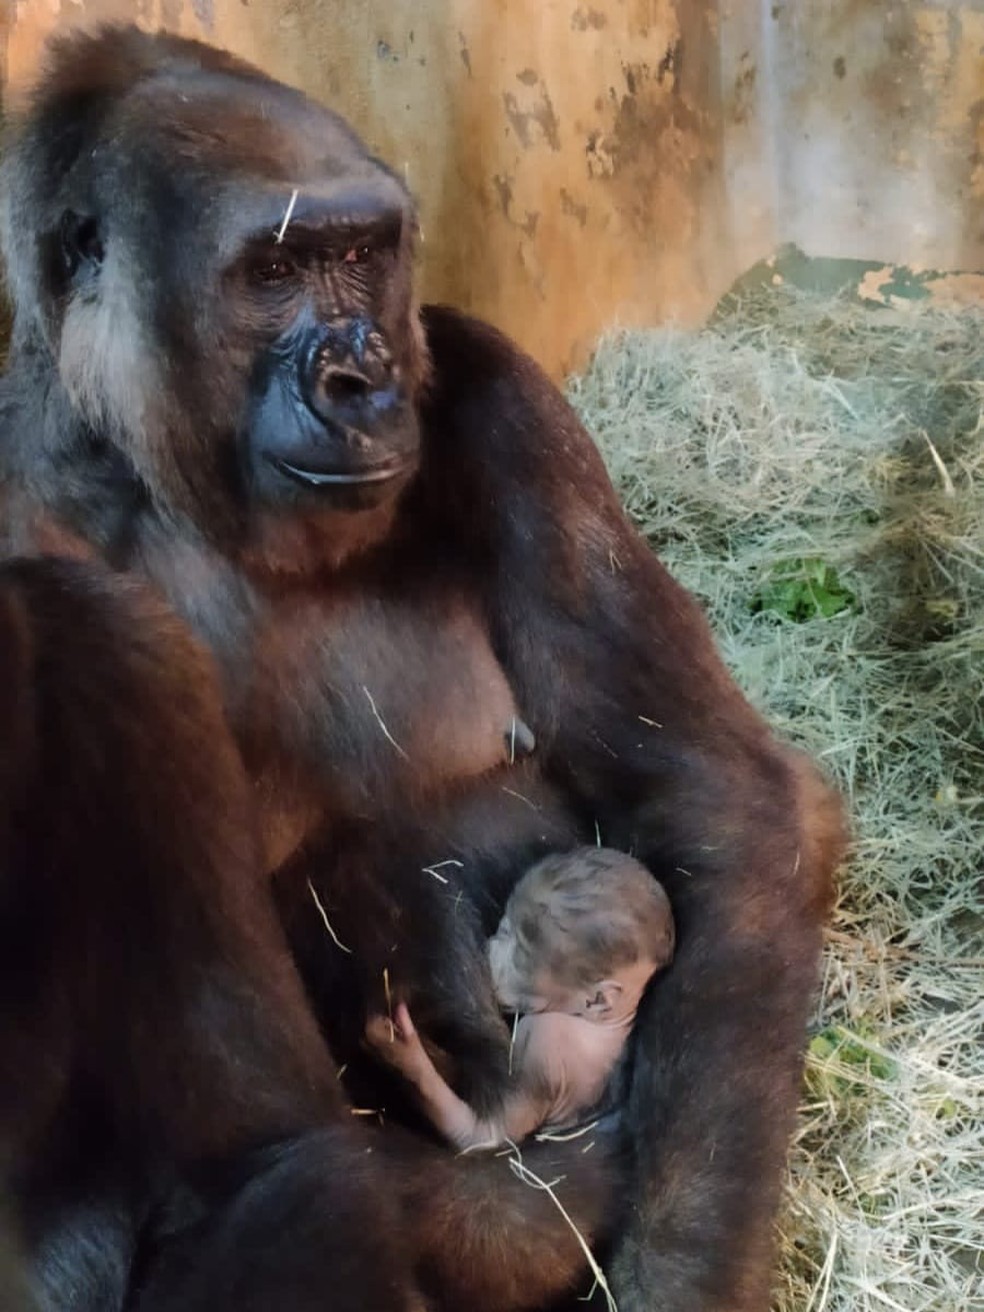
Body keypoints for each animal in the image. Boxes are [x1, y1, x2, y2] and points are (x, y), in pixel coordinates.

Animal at [367, 850, 676, 1149]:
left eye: (517, 947)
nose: (489, 947)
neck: (605, 1022)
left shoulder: (542, 1039)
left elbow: (491, 1131)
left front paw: (399, 1050)